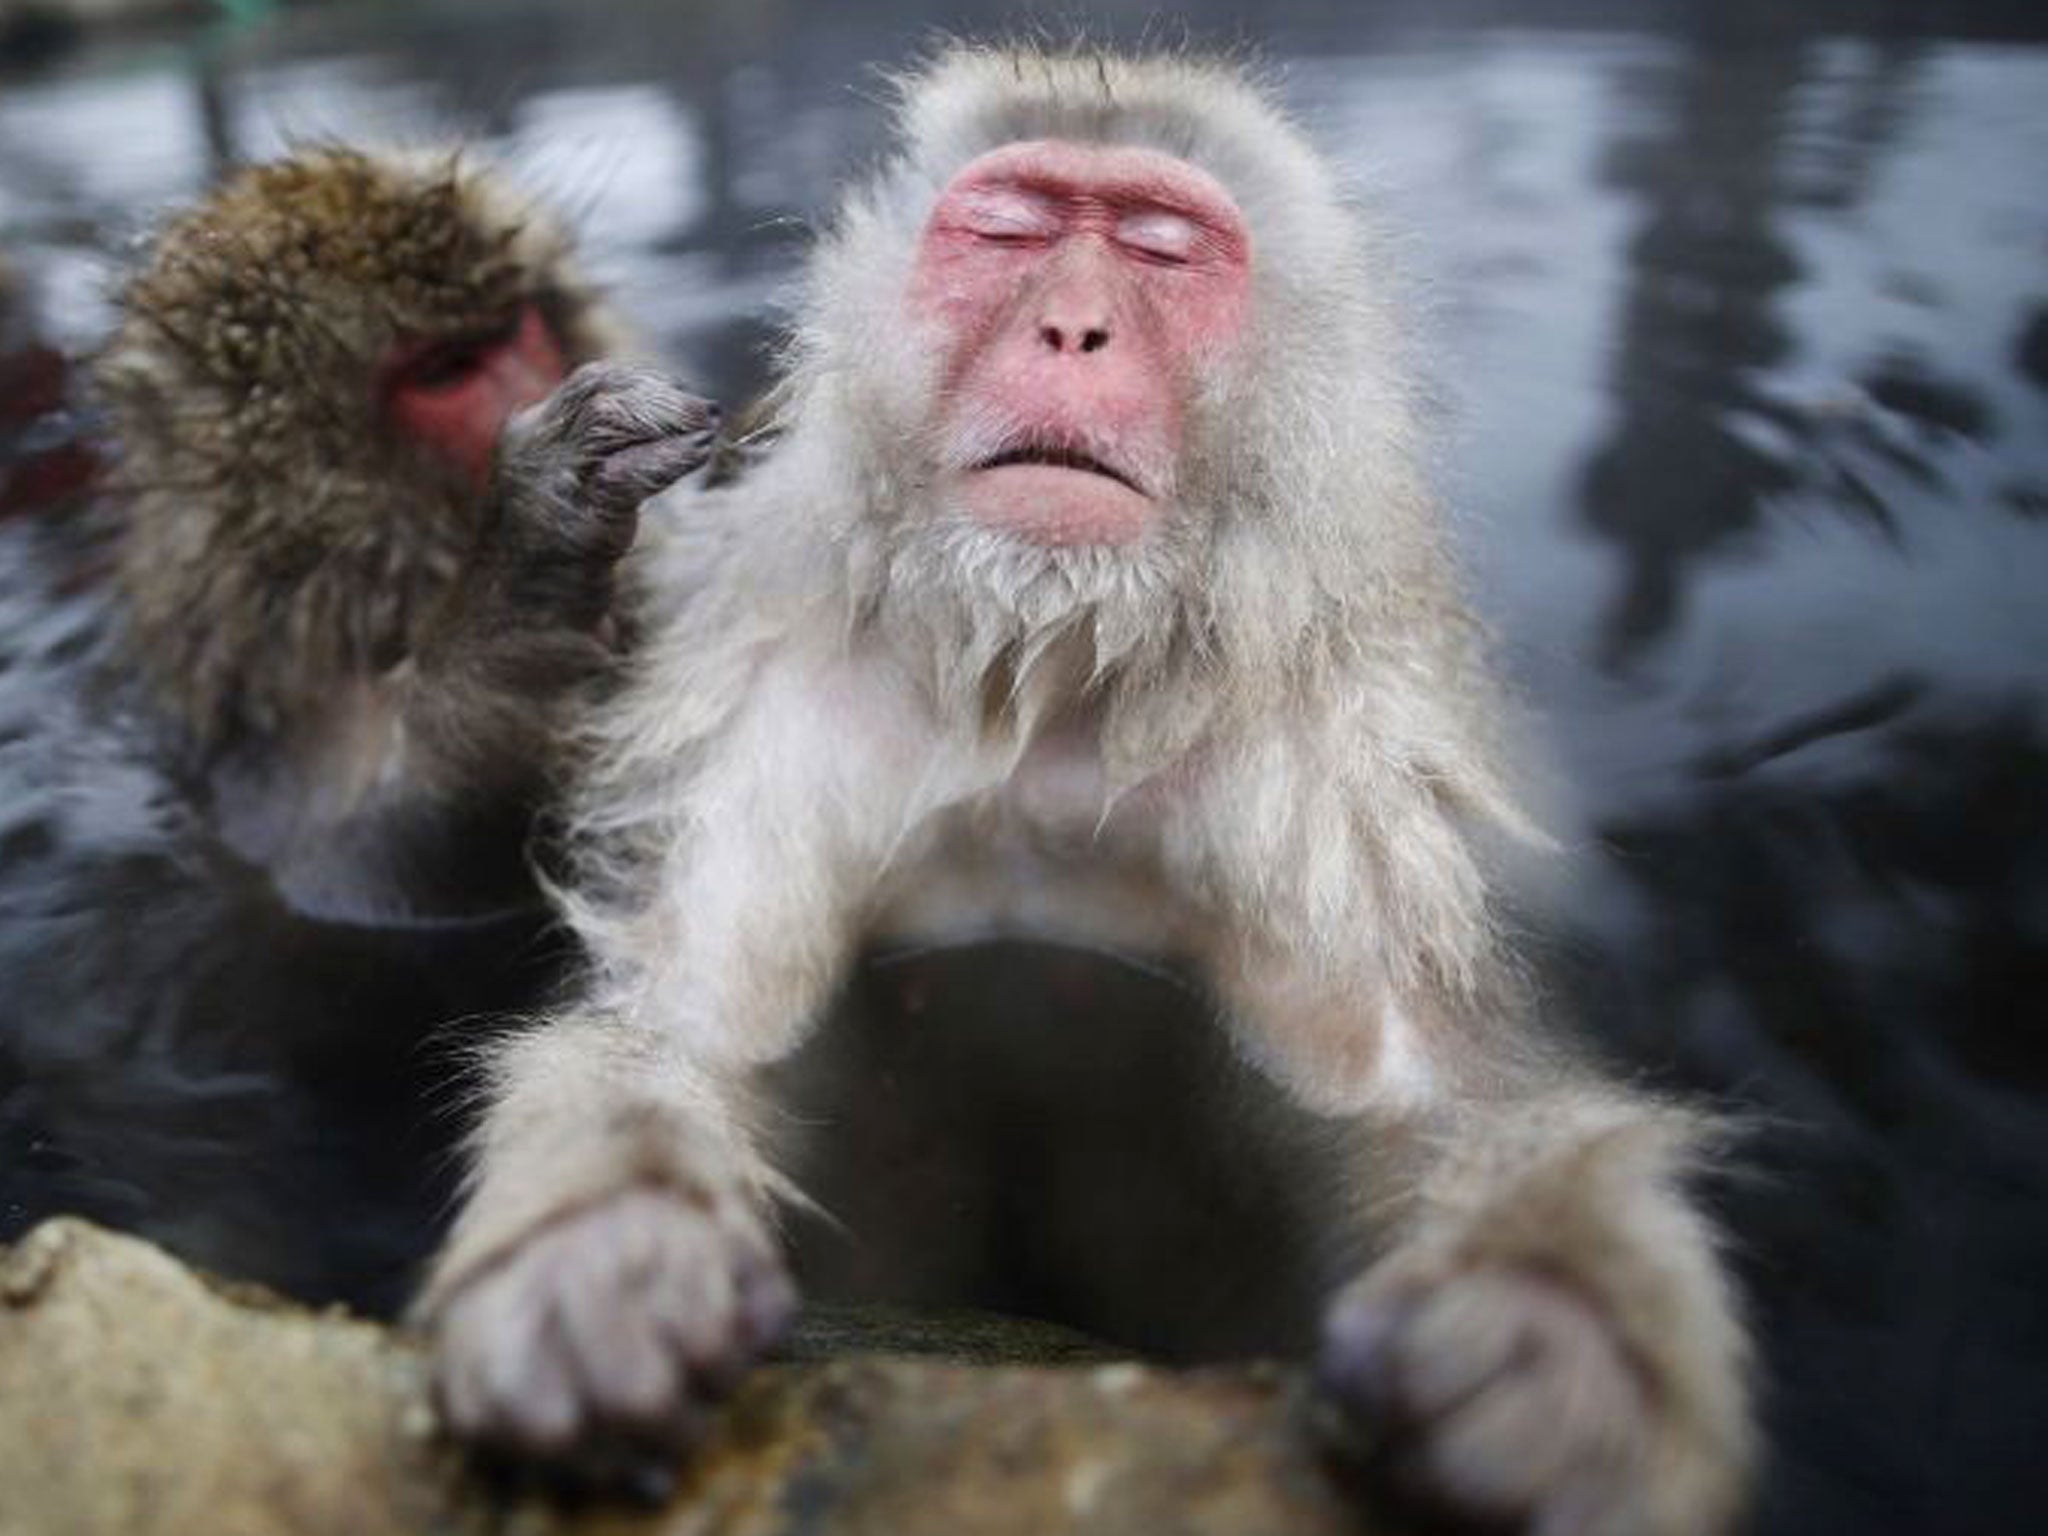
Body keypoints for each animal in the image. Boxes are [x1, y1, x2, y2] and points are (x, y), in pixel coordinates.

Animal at [0, 153, 712, 1310]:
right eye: (447, 371)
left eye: (518, 328)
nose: (545, 372)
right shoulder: (270, 755)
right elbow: (379, 869)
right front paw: (521, 574)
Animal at [423, 48, 1753, 1536]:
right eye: (1007, 230)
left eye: (1164, 247)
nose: (1072, 330)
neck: (1047, 676)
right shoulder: (777, 720)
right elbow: (699, 1025)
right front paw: (599, 1248)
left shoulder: (1334, 792)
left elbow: (1422, 1098)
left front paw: (1562, 1333)